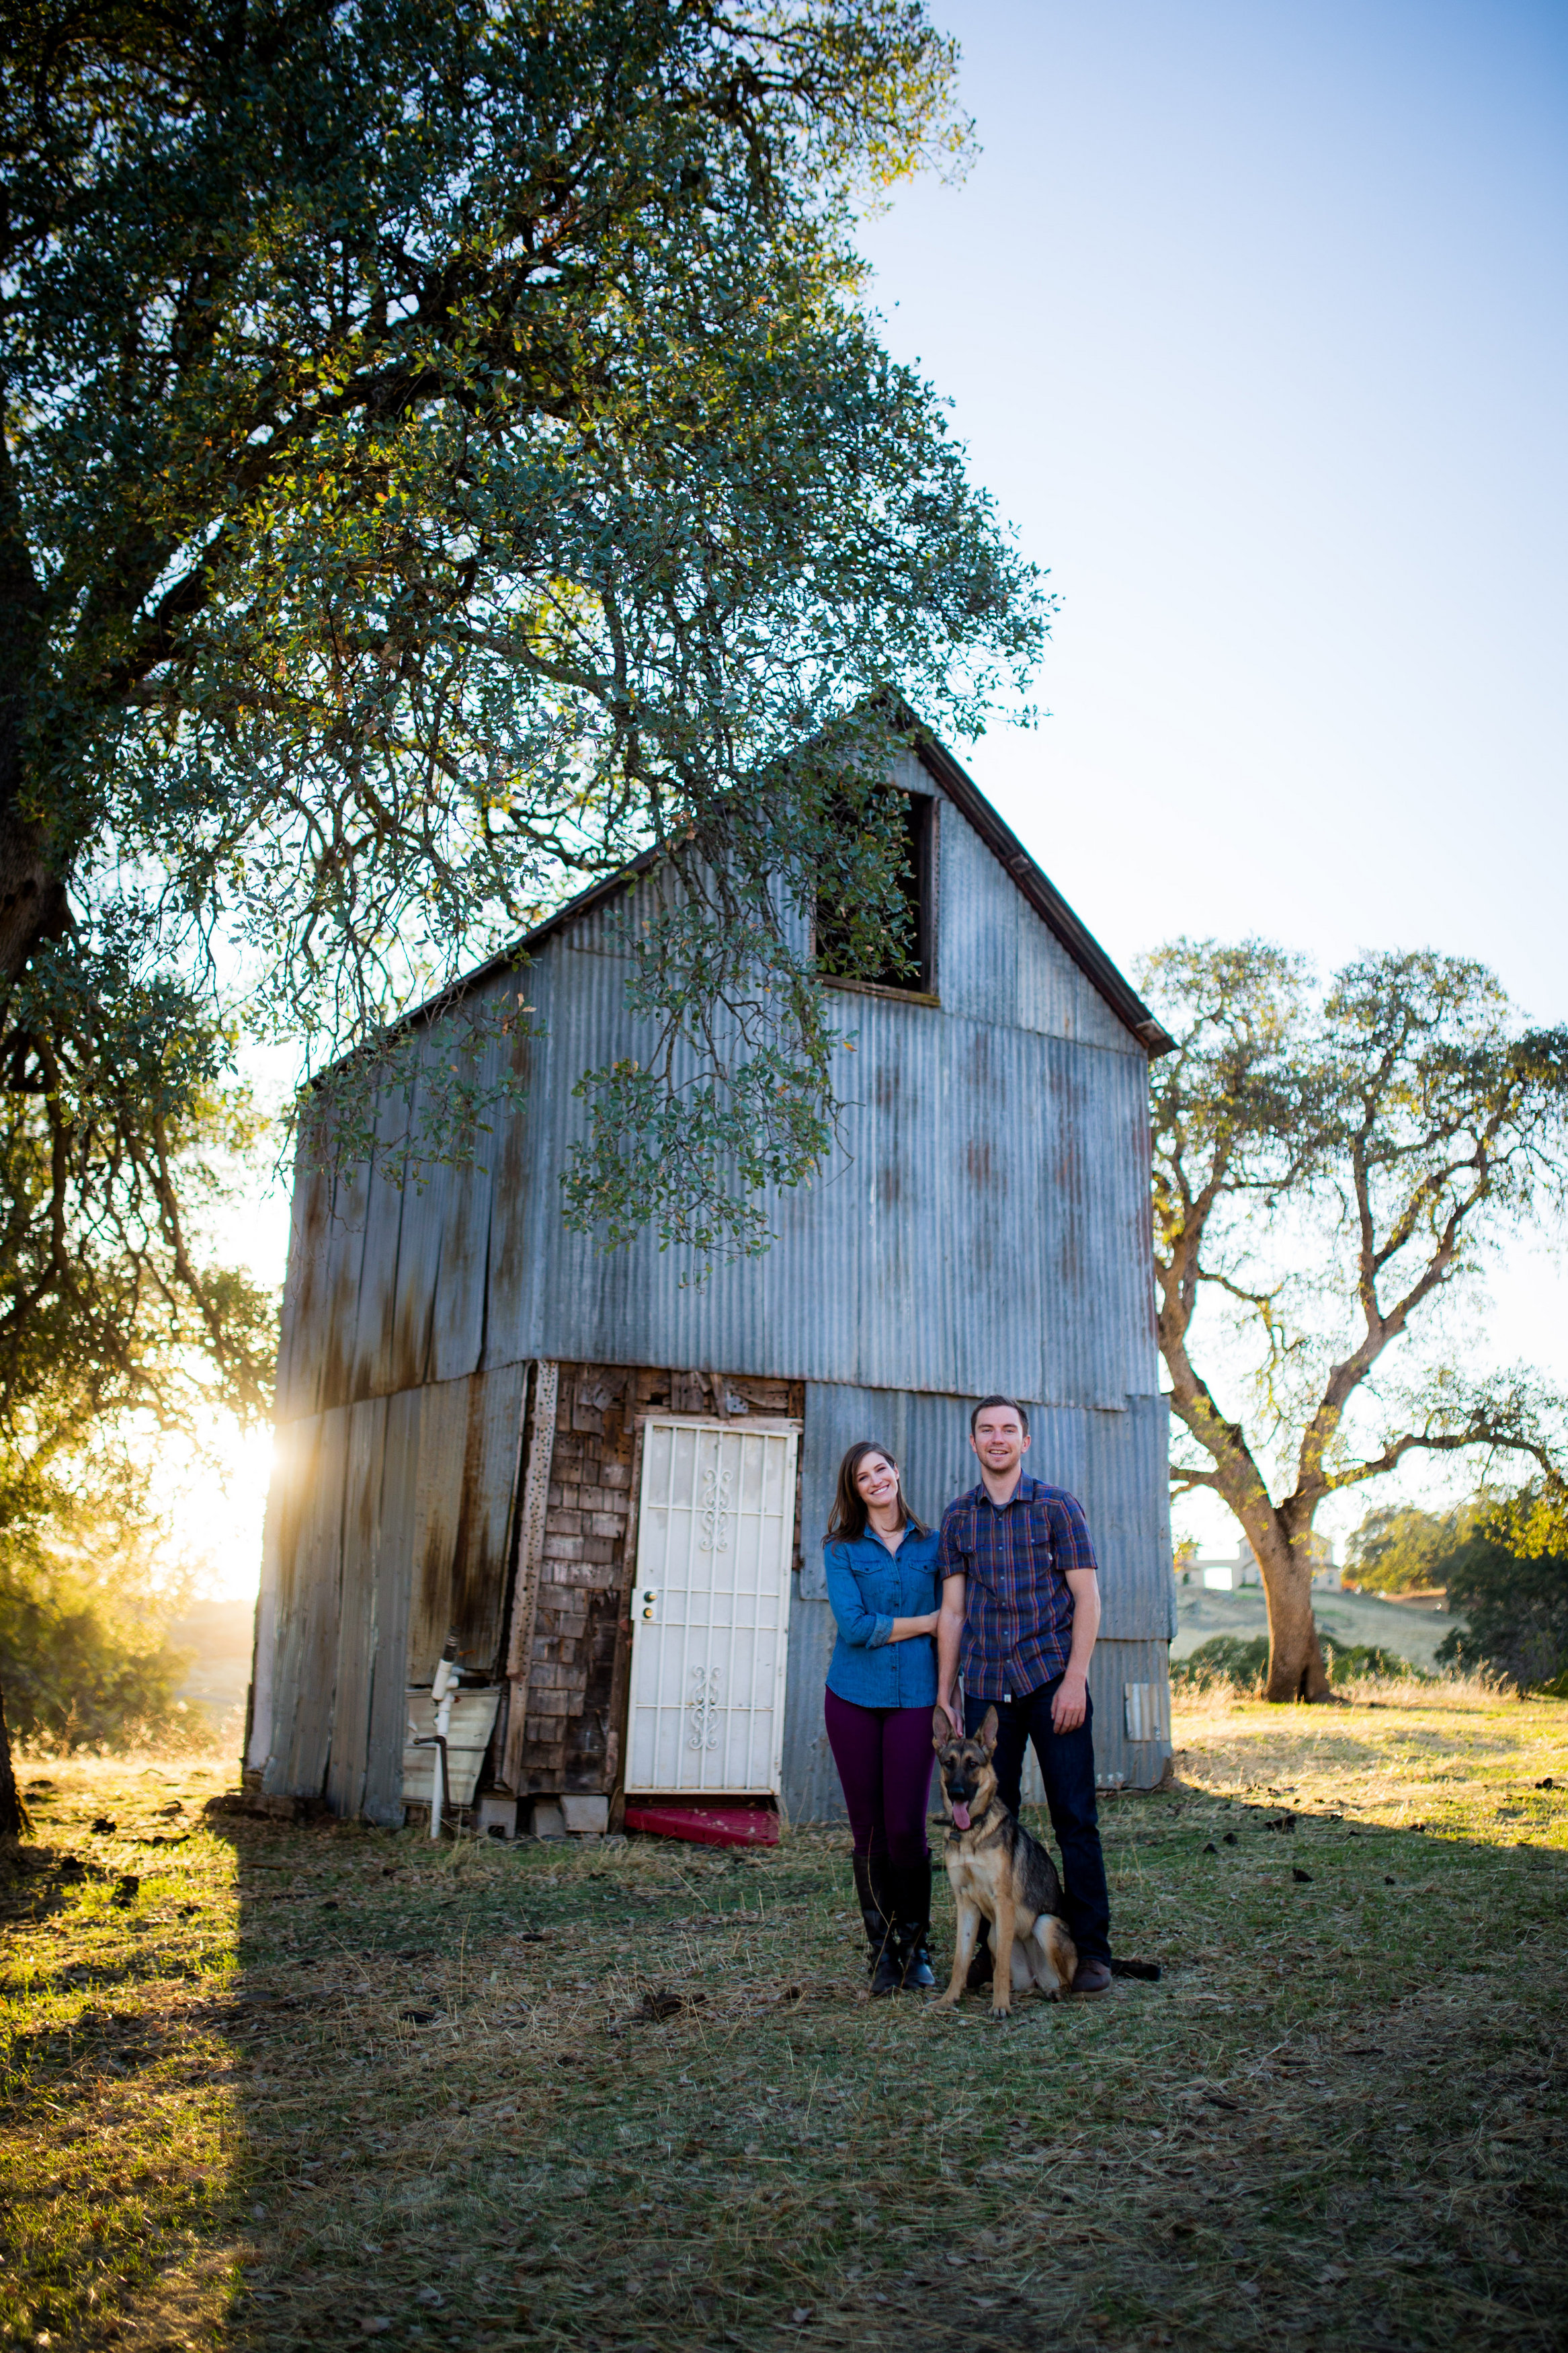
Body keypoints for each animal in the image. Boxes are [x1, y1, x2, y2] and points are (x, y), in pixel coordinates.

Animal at [931, 1704, 1081, 2014]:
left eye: (972, 1765)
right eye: (949, 1763)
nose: (957, 1793)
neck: (971, 1833)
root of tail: (1037, 1976)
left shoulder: (1002, 1901)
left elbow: (998, 1967)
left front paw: (1000, 2007)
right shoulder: (966, 1904)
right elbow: (960, 1960)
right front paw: (949, 1998)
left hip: (1044, 1924)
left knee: (1063, 1983)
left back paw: (1052, 1992)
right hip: (992, 1935)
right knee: (1018, 1979)